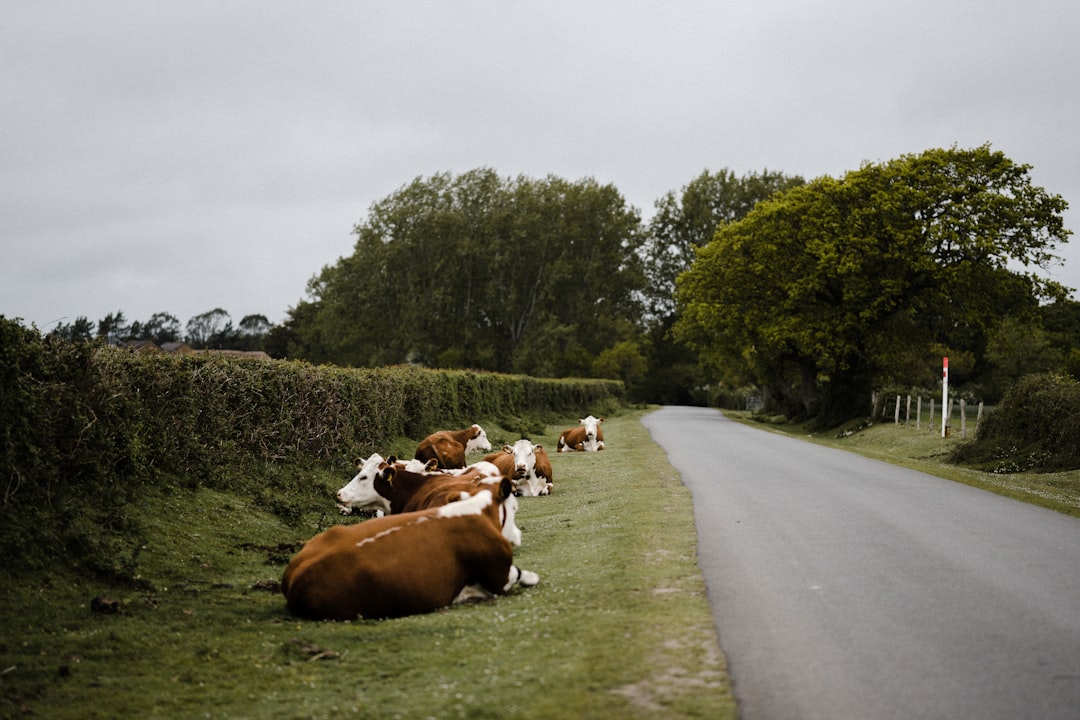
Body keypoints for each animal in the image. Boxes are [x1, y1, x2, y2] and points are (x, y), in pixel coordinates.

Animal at [280, 479, 537, 621]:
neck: (477, 509)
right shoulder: (499, 575)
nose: (517, 536)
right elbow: (522, 574)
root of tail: (296, 575)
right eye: (514, 507)